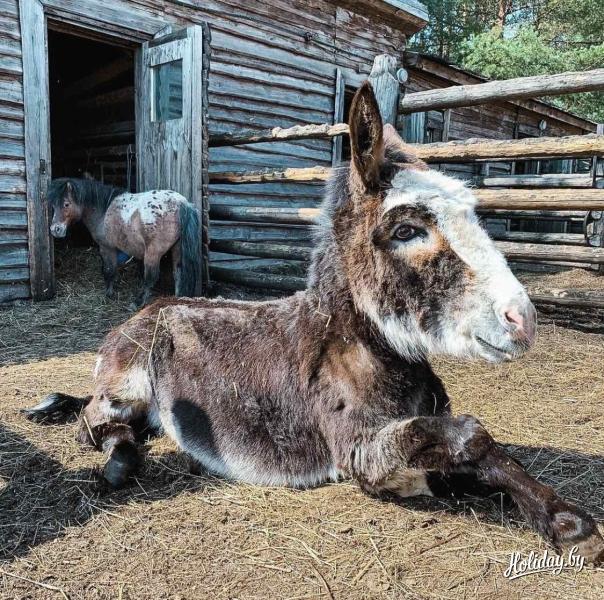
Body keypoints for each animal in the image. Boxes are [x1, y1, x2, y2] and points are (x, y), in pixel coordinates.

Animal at [48, 178, 201, 306]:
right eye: (53, 206)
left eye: (66, 204)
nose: (55, 230)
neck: (104, 211)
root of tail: (181, 203)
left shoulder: (106, 247)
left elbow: (109, 270)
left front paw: (108, 293)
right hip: (177, 249)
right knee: (178, 273)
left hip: (153, 253)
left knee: (150, 278)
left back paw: (138, 302)